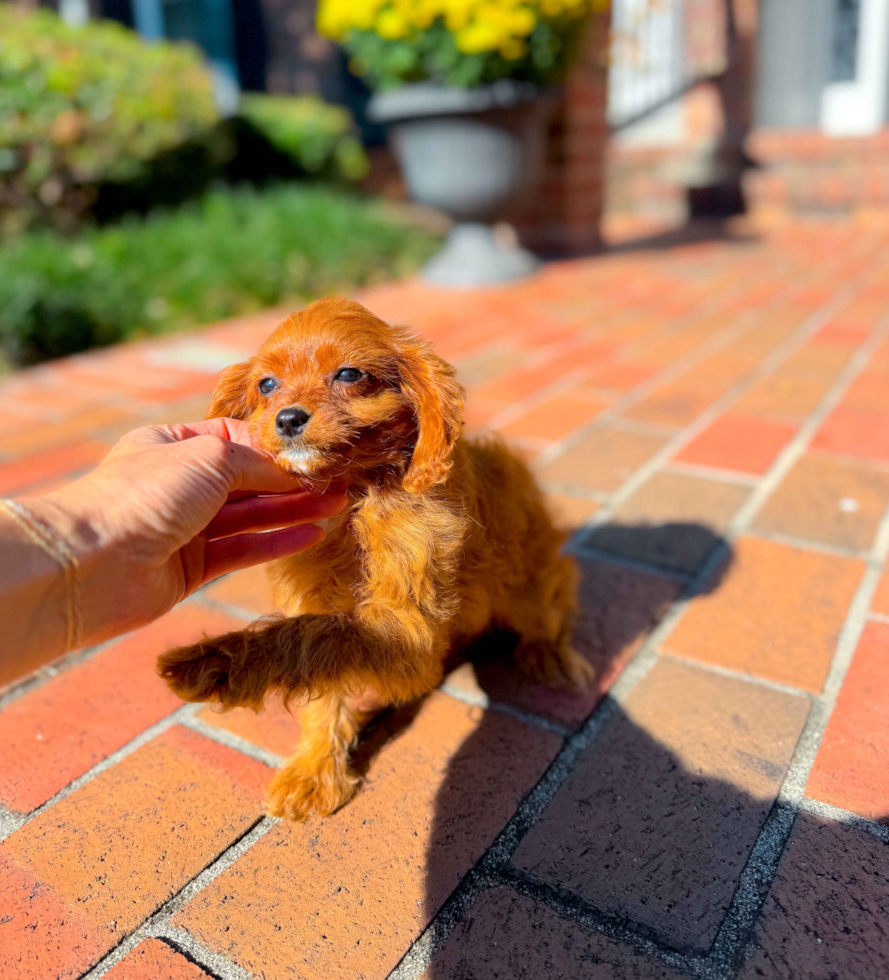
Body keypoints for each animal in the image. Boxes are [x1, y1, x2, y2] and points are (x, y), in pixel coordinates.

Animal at [157, 296, 592, 820]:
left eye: (349, 374)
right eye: (267, 385)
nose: (287, 419)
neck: (353, 501)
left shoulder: (408, 632)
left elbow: (311, 637)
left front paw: (213, 664)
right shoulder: (321, 599)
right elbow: (322, 669)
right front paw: (315, 769)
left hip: (530, 581)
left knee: (551, 608)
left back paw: (548, 653)